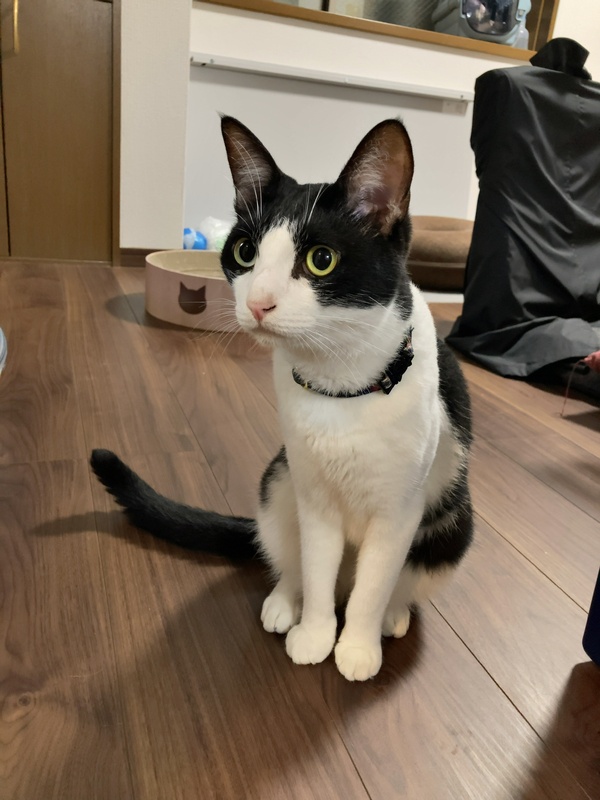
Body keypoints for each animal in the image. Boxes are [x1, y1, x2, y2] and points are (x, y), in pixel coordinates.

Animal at [91, 116, 473, 681]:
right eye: (245, 252)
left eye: (321, 260)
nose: (257, 303)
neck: (340, 384)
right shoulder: (312, 494)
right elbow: (315, 568)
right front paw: (314, 634)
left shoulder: (399, 510)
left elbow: (374, 586)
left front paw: (356, 647)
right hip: (278, 479)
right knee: (295, 560)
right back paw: (283, 601)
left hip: (452, 522)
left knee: (392, 581)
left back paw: (392, 616)